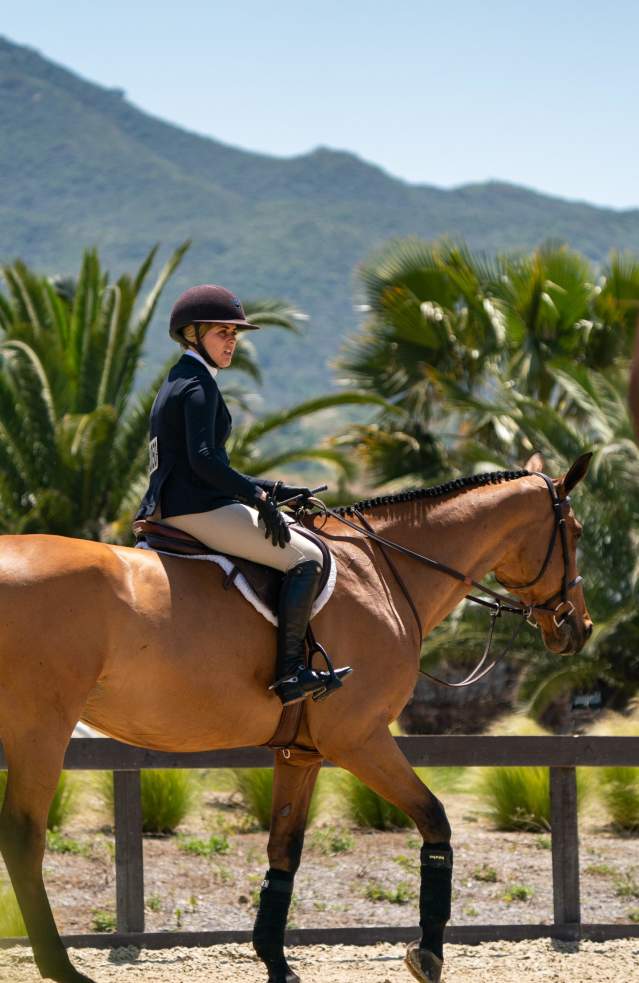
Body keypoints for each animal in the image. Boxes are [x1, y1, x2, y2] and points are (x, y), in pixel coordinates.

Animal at [0, 453, 593, 983]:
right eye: (577, 531)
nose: (579, 628)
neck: (380, 570)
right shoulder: (359, 738)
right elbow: (434, 819)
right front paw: (427, 954)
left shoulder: (300, 752)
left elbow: (283, 851)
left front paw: (277, 964)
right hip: (41, 729)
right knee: (24, 838)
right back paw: (62, 969)